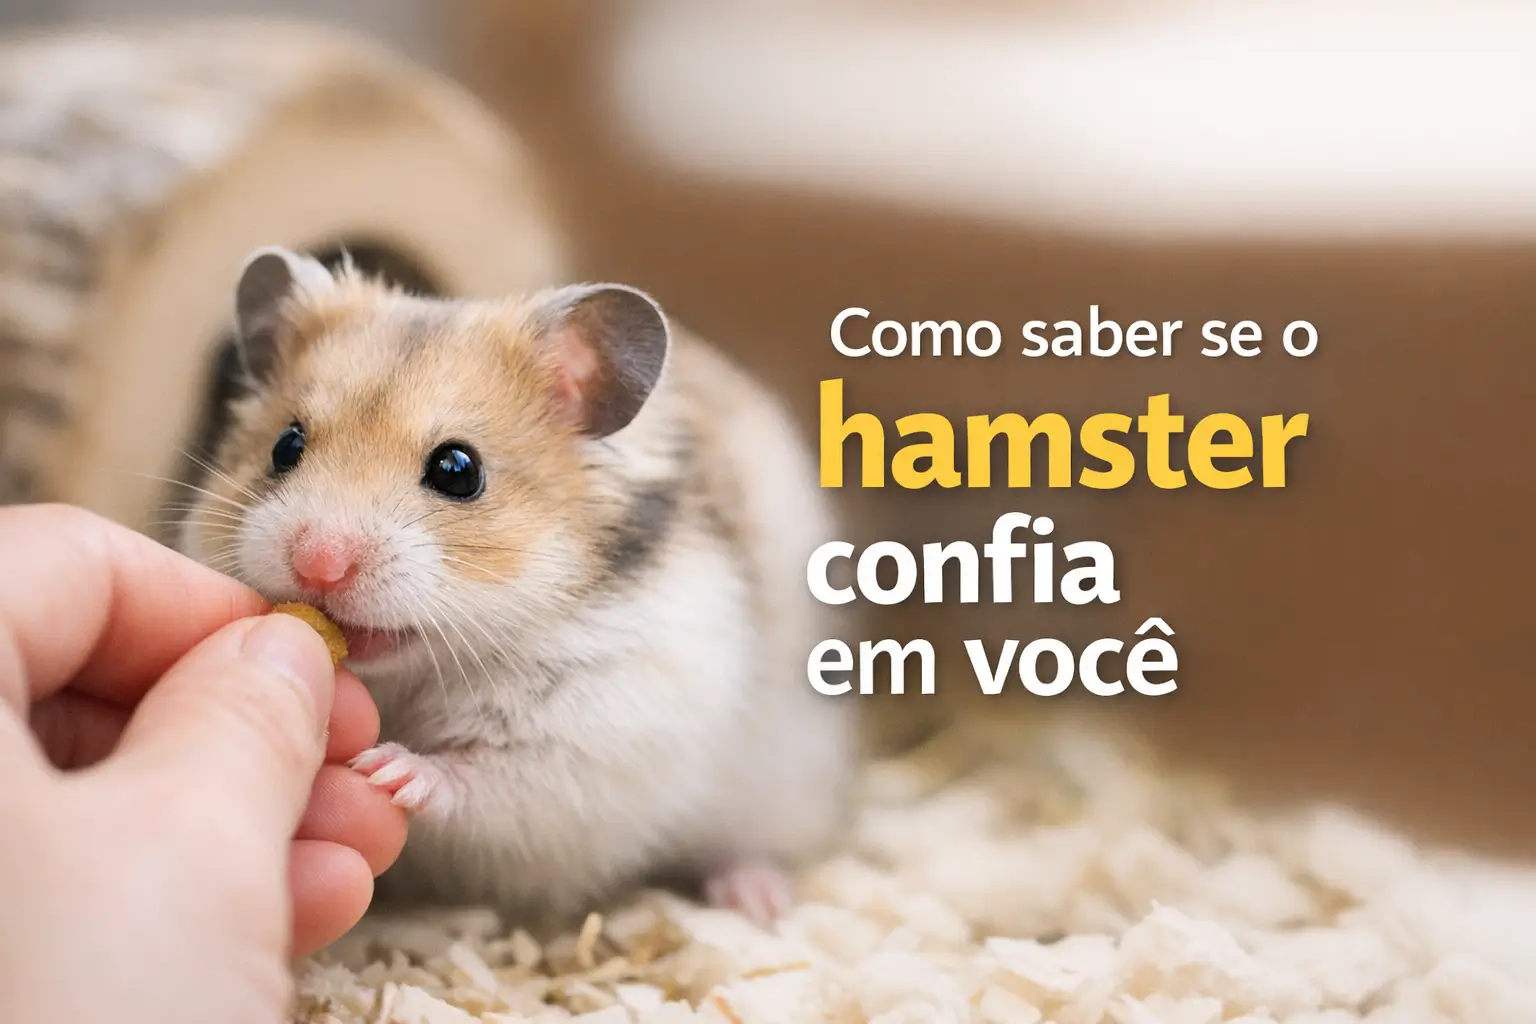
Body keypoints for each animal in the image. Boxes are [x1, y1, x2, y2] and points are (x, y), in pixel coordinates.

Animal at [178, 247, 856, 928]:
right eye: (285, 445)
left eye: (458, 470)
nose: (318, 564)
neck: (420, 671)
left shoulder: (602, 730)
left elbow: (491, 779)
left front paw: (389, 770)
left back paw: (757, 900)